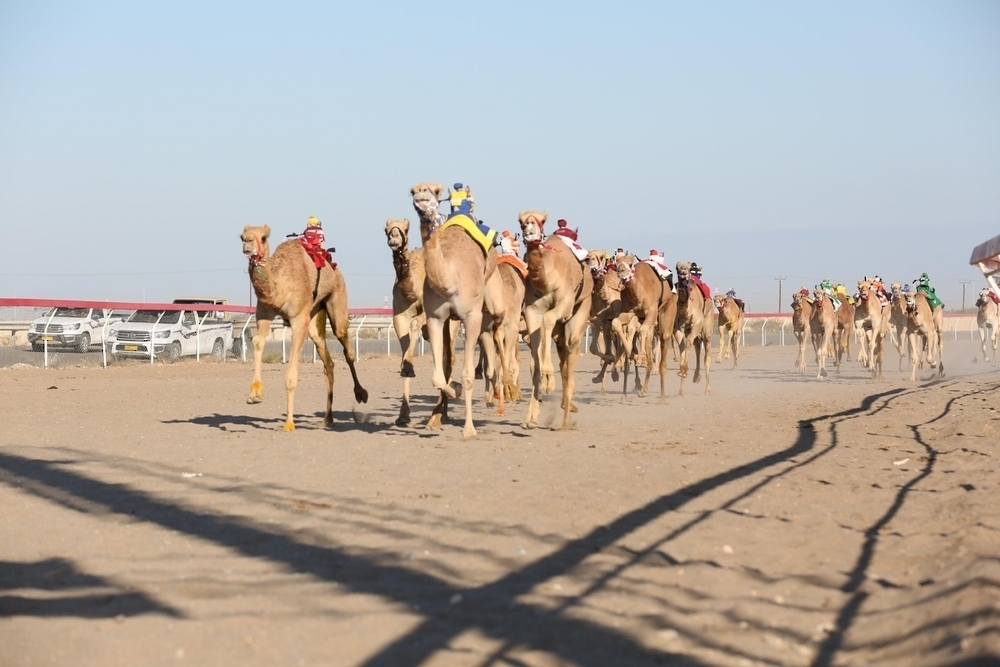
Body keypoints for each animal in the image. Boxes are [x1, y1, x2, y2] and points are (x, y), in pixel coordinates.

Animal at [241, 225, 368, 431]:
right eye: (241, 236)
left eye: (264, 237)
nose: (247, 243)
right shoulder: (264, 313)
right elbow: (258, 340)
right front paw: (255, 394)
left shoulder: (299, 319)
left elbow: (291, 375)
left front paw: (289, 423)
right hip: (315, 313)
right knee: (328, 361)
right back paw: (327, 419)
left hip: (337, 298)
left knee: (346, 346)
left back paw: (361, 394)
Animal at [410, 183, 510, 438]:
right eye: (412, 191)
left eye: (434, 191)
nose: (421, 193)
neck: (450, 280)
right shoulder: (436, 318)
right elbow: (438, 376)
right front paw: (451, 392)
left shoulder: (471, 317)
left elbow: (467, 375)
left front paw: (469, 429)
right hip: (454, 321)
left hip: (493, 299)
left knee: (499, 333)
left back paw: (506, 393)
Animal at [518, 211, 593, 429]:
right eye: (521, 221)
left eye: (541, 220)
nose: (529, 228)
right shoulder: (532, 311)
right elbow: (535, 364)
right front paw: (530, 418)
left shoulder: (565, 304)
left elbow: (549, 318)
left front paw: (548, 380)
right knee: (562, 352)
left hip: (582, 308)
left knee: (572, 347)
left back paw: (566, 417)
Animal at [615, 255, 677, 401]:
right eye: (616, 263)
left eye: (630, 264)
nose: (621, 271)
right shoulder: (629, 312)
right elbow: (616, 323)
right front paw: (634, 356)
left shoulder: (651, 311)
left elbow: (642, 330)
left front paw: (640, 357)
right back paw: (643, 390)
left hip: (668, 310)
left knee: (663, 352)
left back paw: (662, 398)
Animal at [673, 261, 712, 396]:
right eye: (677, 268)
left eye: (689, 268)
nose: (683, 271)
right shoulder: (677, 327)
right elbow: (682, 346)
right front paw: (682, 372)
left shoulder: (697, 322)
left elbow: (688, 342)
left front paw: (684, 371)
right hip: (689, 329)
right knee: (697, 345)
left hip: (707, 327)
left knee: (706, 356)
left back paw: (707, 390)